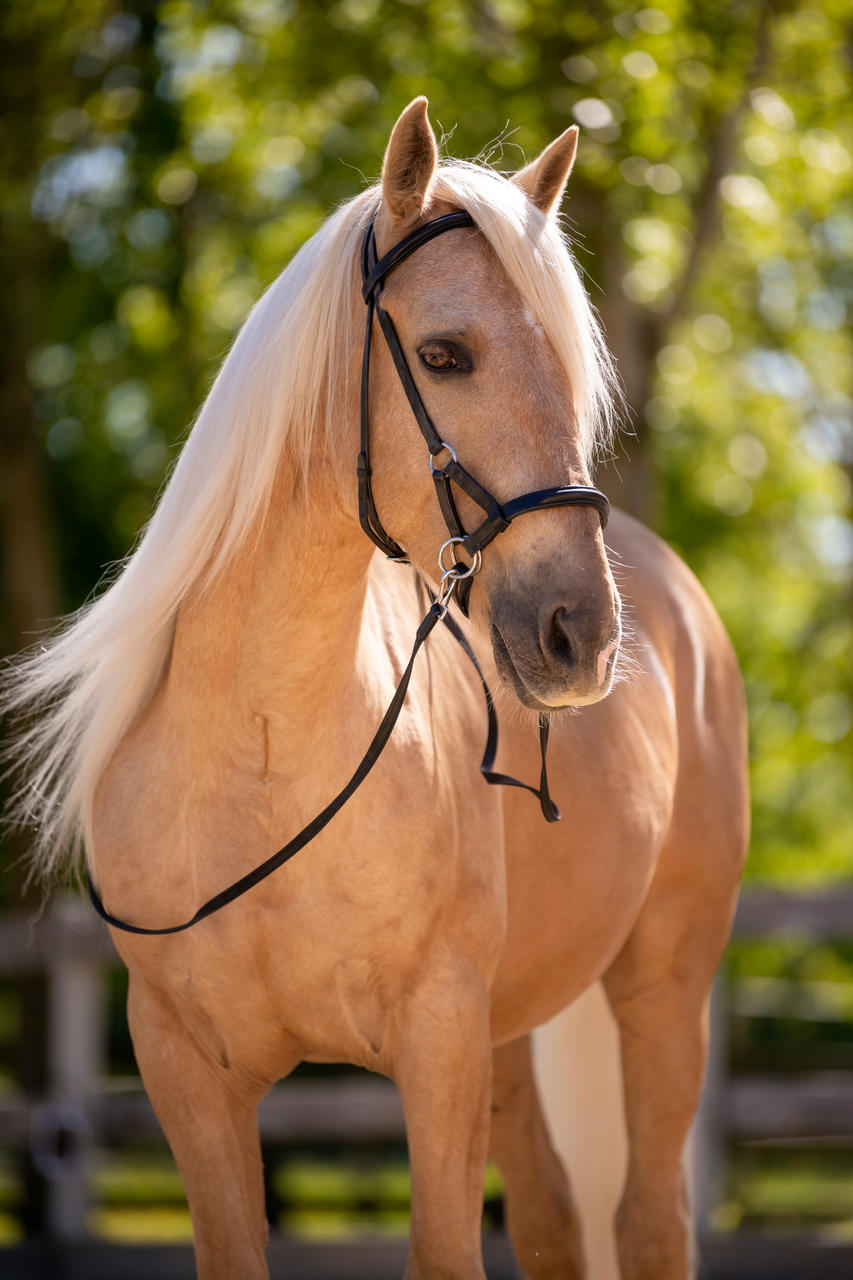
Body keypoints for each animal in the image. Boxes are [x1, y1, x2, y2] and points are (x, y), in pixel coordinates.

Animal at [4, 98, 748, 1279]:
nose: (580, 634)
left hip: (661, 987)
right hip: (514, 1036)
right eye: (444, 354)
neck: (263, 752)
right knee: (552, 1219)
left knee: (647, 1217)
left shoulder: (439, 1044)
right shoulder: (186, 1072)